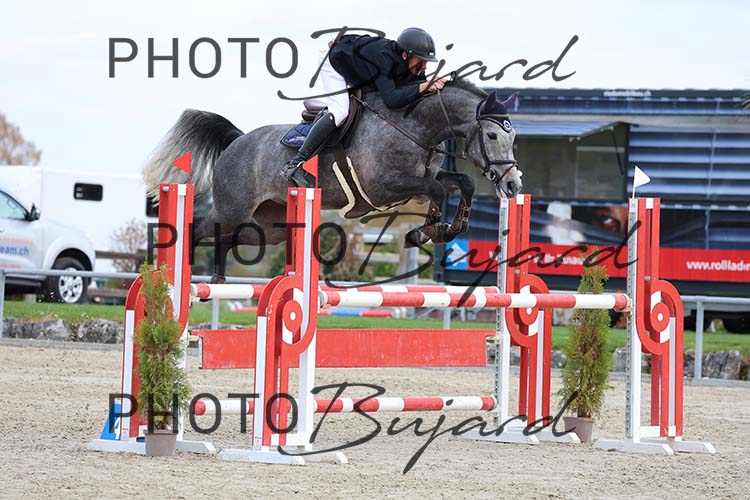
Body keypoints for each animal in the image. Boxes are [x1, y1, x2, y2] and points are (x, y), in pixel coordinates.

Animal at [143, 79, 523, 280]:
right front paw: (426, 232)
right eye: (492, 136)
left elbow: (460, 183)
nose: (513, 185)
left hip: (268, 226)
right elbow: (438, 190)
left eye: (513, 136)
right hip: (234, 208)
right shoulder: (384, 187)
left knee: (227, 239)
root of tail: (237, 141)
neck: (415, 127)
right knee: (200, 228)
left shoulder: (422, 176)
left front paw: (450, 227)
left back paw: (217, 278)